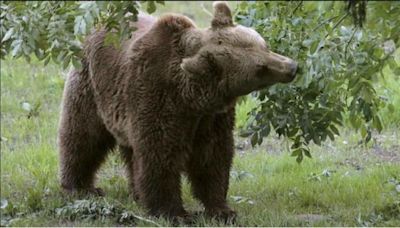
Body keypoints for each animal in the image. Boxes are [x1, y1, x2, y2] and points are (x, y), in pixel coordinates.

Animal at [57, 0, 296, 221]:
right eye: (260, 69)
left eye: (264, 45)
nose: (292, 67)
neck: (191, 98)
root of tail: (99, 23)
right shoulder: (158, 96)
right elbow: (161, 156)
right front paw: (174, 213)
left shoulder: (211, 118)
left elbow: (213, 158)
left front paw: (222, 209)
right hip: (91, 85)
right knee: (83, 136)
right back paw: (81, 187)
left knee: (129, 149)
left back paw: (136, 193)